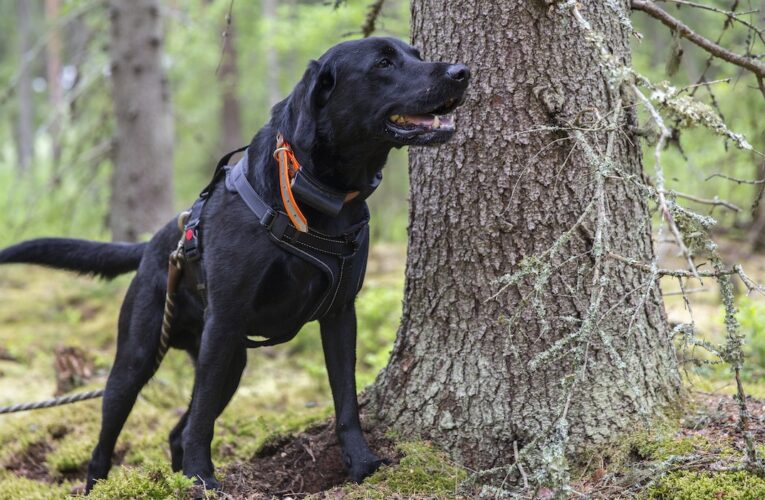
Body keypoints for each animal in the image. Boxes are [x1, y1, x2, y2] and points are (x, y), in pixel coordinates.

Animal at [0, 37, 468, 490]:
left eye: (415, 53)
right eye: (383, 63)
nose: (461, 72)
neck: (314, 189)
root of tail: (154, 243)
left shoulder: (339, 314)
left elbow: (346, 400)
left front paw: (361, 463)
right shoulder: (224, 320)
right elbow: (203, 417)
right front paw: (201, 476)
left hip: (231, 361)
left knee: (178, 430)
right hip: (142, 358)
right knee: (110, 441)